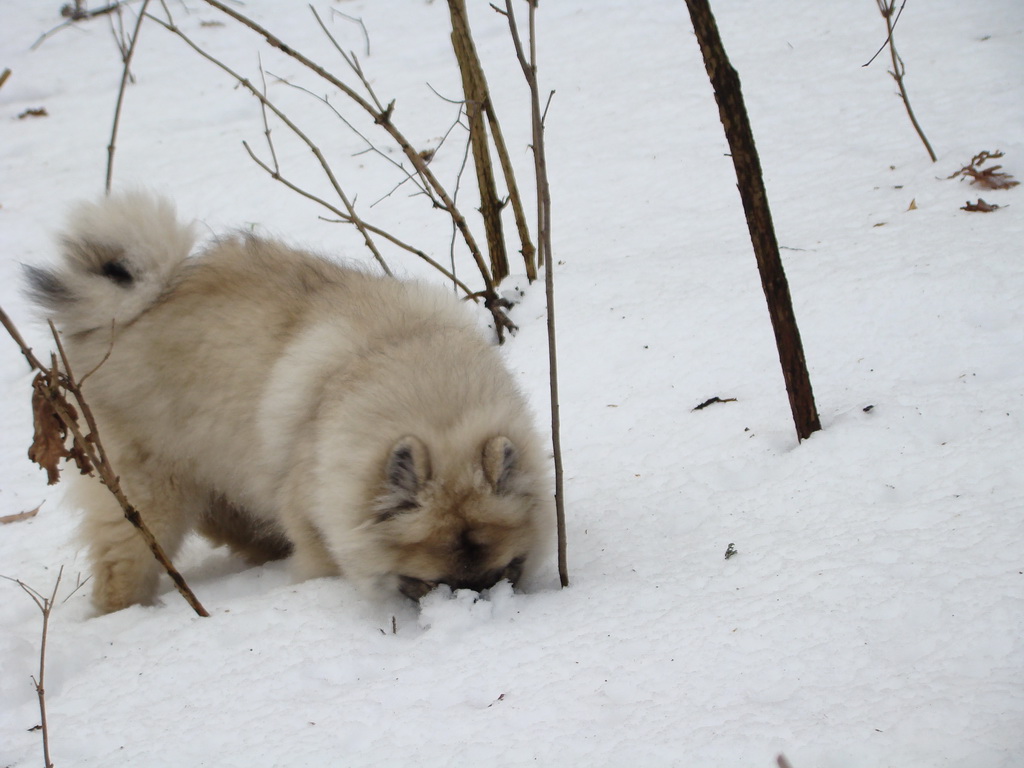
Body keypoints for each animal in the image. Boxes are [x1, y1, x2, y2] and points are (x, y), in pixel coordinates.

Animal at [28, 195, 548, 618]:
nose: (475, 604)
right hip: (149, 490)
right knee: (128, 561)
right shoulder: (313, 514)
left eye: (507, 570)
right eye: (428, 583)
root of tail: (122, 314)